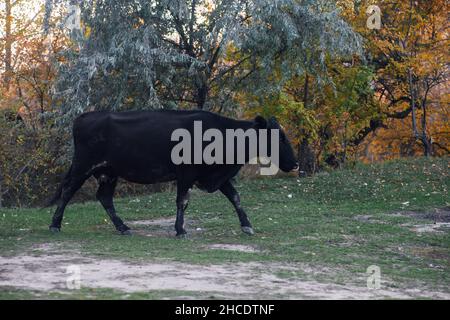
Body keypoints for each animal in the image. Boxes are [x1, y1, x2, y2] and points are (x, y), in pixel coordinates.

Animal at [47, 110, 298, 238]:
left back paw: (123, 227)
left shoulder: (214, 175)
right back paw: (55, 224)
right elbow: (182, 201)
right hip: (83, 166)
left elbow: (235, 197)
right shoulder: (186, 173)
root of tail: (84, 116)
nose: (295, 164)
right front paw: (180, 230)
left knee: (104, 197)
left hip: (109, 172)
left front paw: (247, 225)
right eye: (279, 137)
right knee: (68, 191)